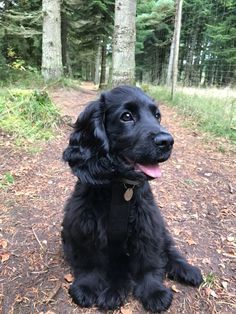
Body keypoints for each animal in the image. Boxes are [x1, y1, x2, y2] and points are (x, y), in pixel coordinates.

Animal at [61, 85, 203, 312]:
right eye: (126, 117)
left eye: (157, 116)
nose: (167, 141)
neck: (121, 189)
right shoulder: (84, 225)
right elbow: (90, 261)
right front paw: (86, 286)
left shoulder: (147, 225)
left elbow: (149, 261)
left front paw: (154, 291)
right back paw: (113, 292)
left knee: (168, 250)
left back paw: (186, 270)